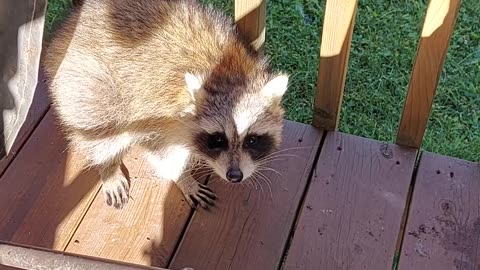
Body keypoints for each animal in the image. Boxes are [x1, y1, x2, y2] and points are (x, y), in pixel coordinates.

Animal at [42, 0, 288, 209]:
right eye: (217, 139)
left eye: (252, 139)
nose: (234, 176)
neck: (231, 73)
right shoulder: (157, 116)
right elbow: (163, 153)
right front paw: (183, 178)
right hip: (88, 82)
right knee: (101, 124)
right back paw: (108, 166)